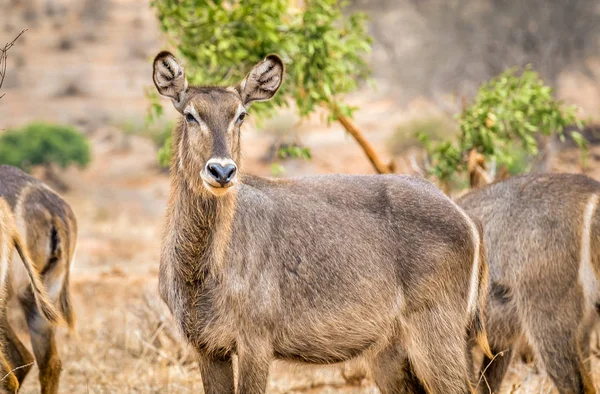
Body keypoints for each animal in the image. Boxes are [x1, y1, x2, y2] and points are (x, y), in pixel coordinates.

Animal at [152, 52, 490, 394]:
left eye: (241, 115)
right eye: (191, 114)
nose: (222, 171)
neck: (203, 269)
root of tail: (465, 216)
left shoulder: (255, 344)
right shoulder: (208, 348)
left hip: (435, 332)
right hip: (390, 353)